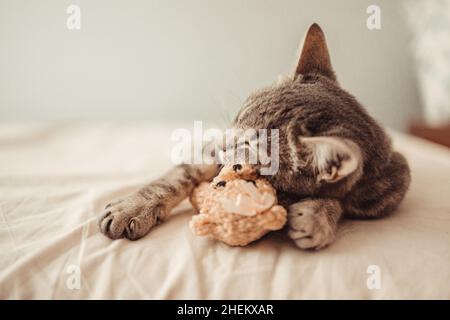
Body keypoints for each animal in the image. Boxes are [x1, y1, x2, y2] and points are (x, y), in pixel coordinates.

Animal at [99, 24, 412, 250]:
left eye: (248, 148)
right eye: (237, 116)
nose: (220, 146)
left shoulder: (392, 187)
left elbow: (342, 201)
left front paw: (318, 216)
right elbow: (174, 178)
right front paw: (133, 207)